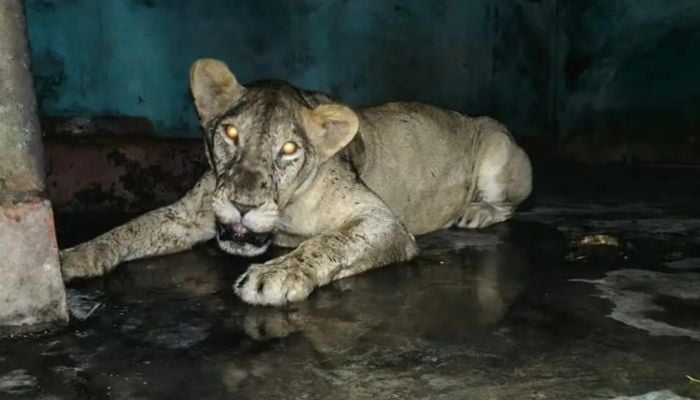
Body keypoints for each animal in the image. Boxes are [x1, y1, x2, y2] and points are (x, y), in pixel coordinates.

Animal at [59, 58, 532, 306]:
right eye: (231, 133)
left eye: (288, 148)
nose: (243, 206)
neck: (285, 212)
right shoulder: (188, 215)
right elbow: (129, 229)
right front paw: (72, 257)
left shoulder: (383, 221)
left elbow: (327, 243)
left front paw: (275, 275)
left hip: (495, 148)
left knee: (509, 204)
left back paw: (475, 213)